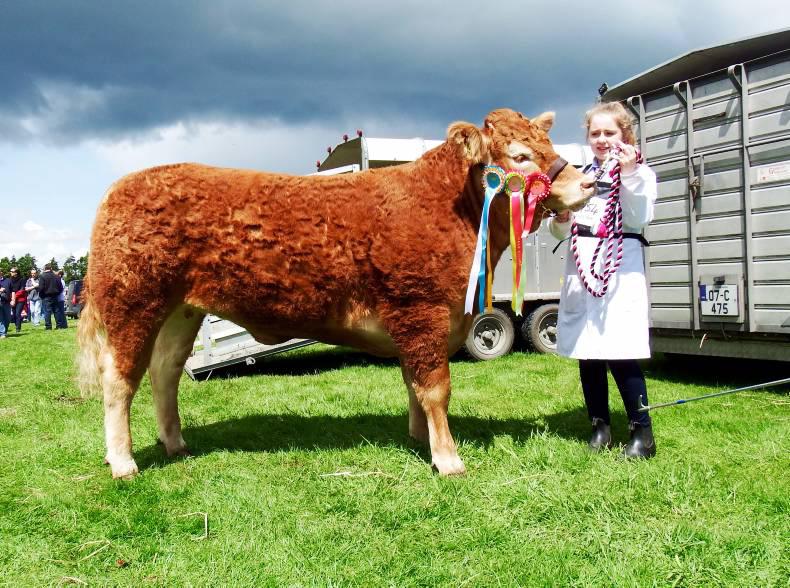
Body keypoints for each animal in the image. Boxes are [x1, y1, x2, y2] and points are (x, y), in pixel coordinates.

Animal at [78, 108, 594, 479]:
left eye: (548, 143)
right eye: (520, 155)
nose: (586, 181)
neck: (449, 208)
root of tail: (119, 187)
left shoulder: (417, 322)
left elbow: (413, 383)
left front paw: (418, 438)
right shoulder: (421, 309)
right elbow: (435, 388)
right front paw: (447, 458)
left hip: (180, 312)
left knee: (164, 373)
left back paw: (176, 444)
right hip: (132, 304)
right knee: (119, 380)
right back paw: (123, 462)